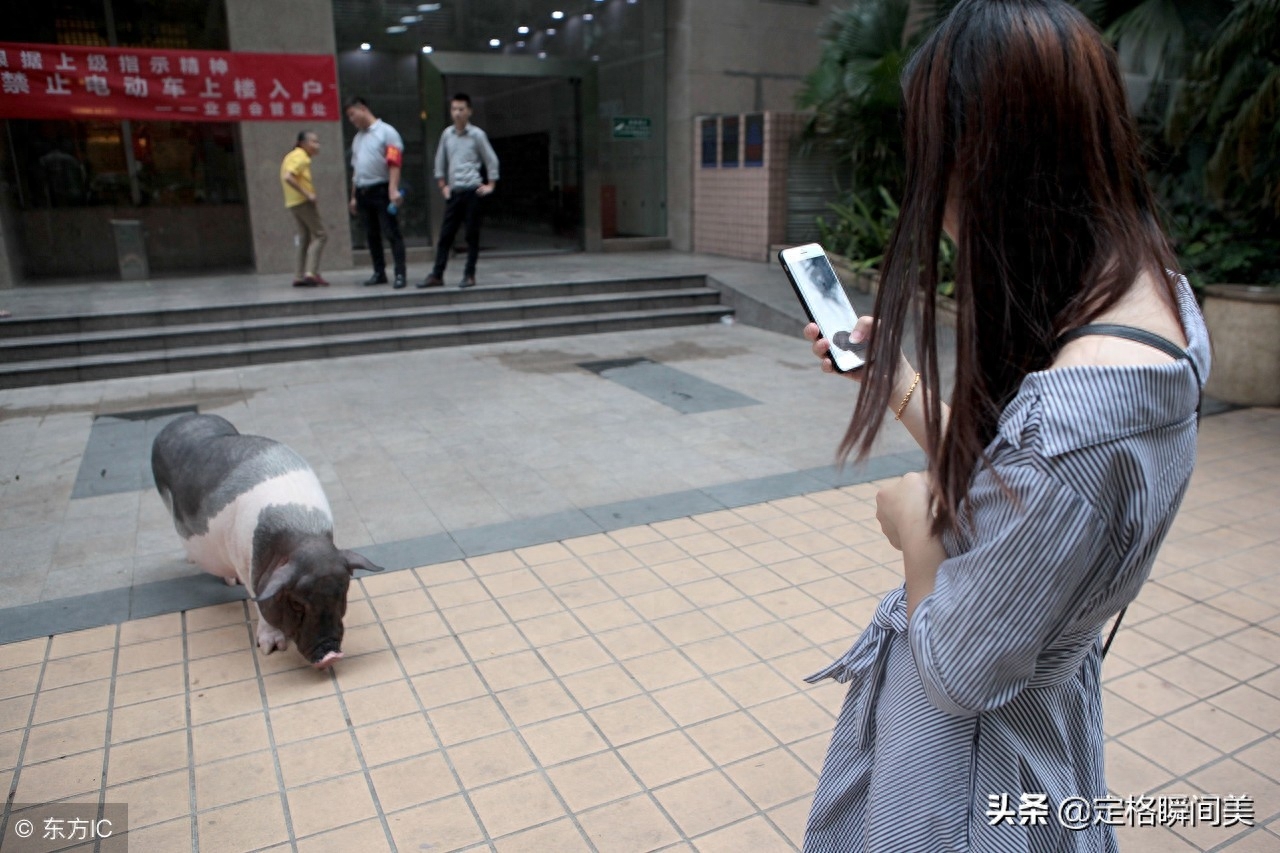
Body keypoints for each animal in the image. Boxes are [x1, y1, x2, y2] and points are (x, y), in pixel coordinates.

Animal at [150, 412, 378, 666]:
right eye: (296, 603)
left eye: (342, 593)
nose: (331, 656)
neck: (301, 536)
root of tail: (181, 419)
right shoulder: (242, 559)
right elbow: (256, 596)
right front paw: (271, 649)